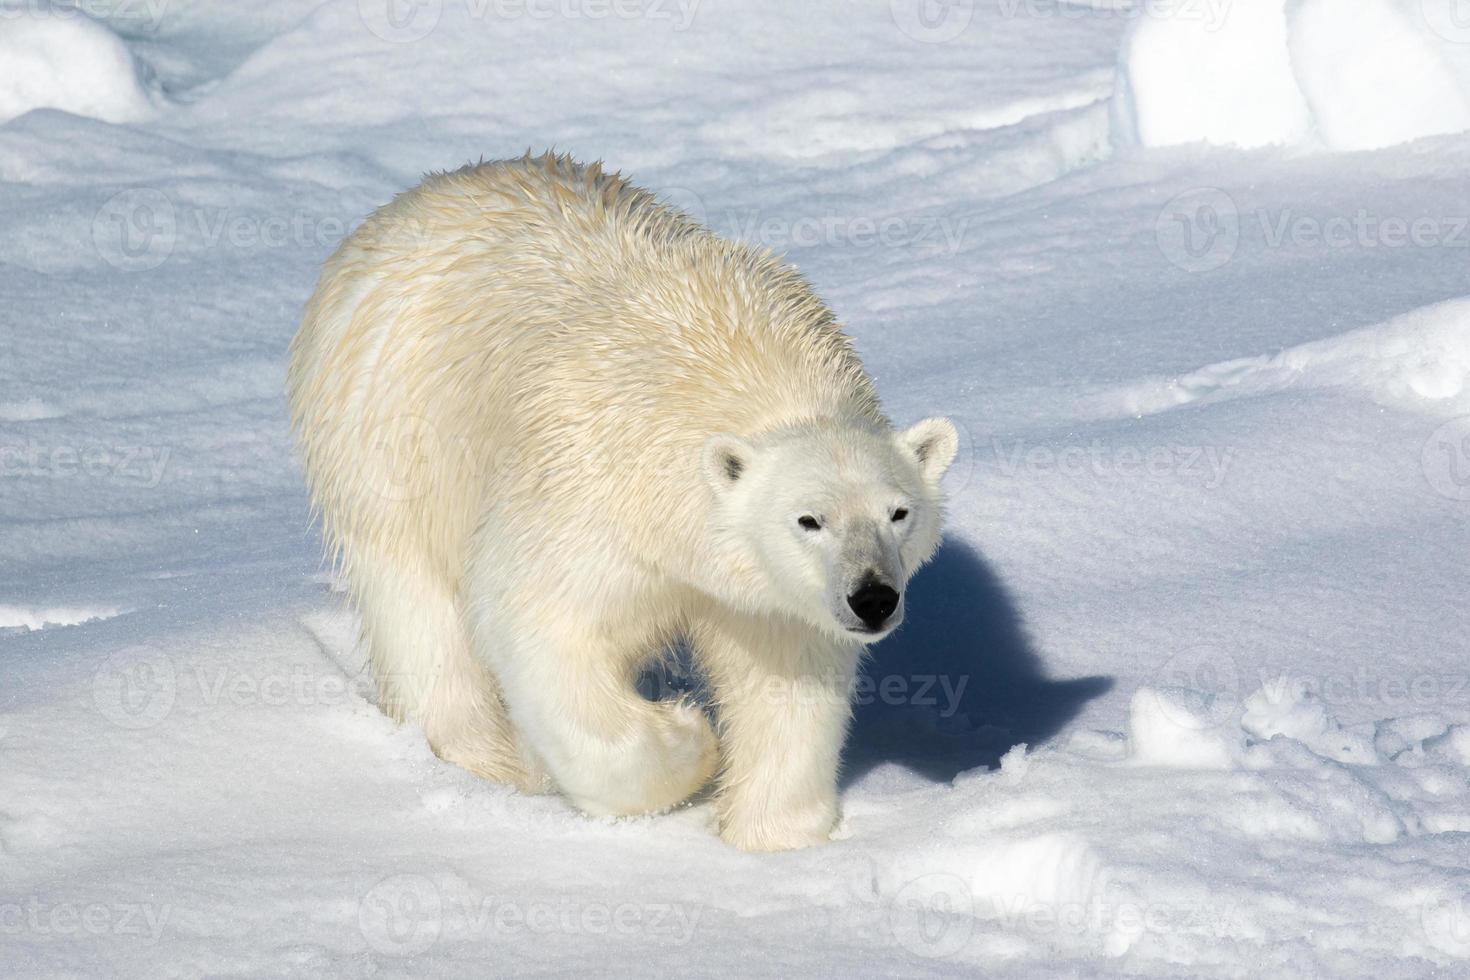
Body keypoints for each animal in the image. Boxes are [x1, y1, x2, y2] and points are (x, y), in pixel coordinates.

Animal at [288, 153, 958, 852]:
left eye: (898, 513)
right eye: (809, 519)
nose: (873, 597)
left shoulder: (767, 593)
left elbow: (783, 682)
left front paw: (773, 837)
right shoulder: (588, 495)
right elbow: (539, 624)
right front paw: (690, 740)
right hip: (389, 440)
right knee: (418, 611)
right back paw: (487, 760)